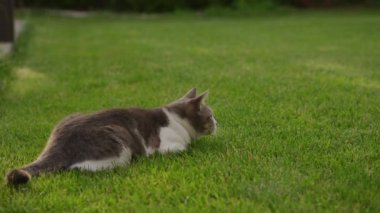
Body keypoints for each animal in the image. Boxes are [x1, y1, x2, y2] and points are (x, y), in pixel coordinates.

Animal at [5, 88, 217, 185]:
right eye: (211, 115)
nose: (218, 123)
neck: (176, 119)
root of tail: (57, 144)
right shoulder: (164, 145)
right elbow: (184, 148)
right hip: (119, 141)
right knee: (78, 167)